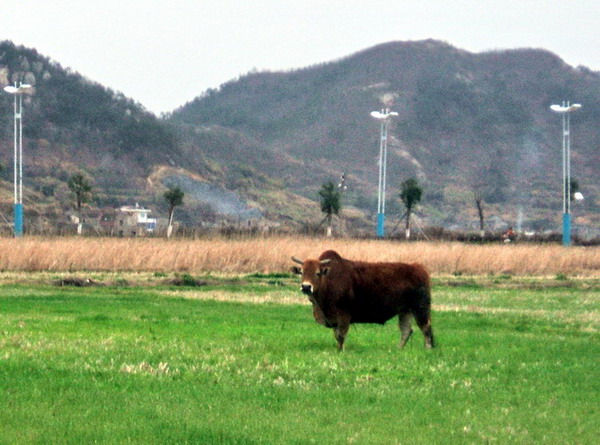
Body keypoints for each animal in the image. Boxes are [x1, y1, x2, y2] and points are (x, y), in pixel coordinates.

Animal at [290, 250, 432, 350]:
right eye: (301, 272)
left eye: (317, 272)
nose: (306, 287)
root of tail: (418, 269)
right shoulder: (334, 320)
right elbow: (337, 335)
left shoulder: (344, 316)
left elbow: (341, 336)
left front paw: (340, 350)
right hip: (405, 311)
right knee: (406, 330)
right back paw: (398, 349)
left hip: (420, 309)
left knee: (426, 328)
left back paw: (428, 349)